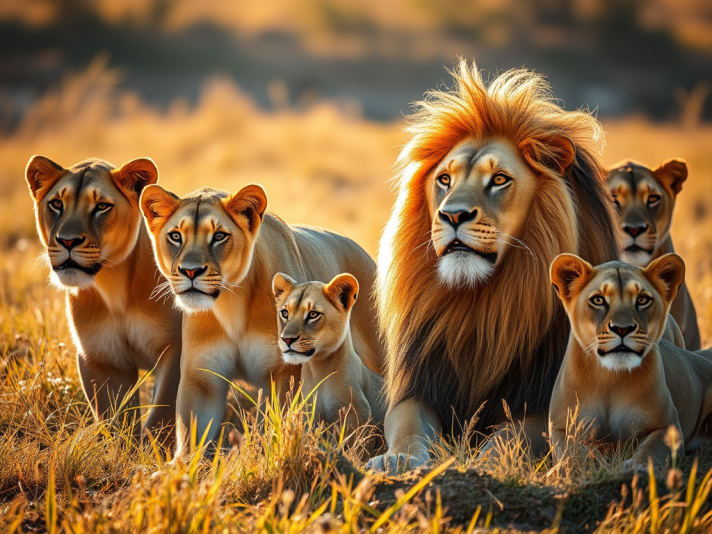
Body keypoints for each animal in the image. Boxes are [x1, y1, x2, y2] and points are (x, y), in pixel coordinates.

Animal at [25, 155, 182, 444]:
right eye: (56, 204)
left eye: (101, 207)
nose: (68, 241)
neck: (114, 286)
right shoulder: (103, 357)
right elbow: (115, 421)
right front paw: (124, 450)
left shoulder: (175, 348)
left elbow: (163, 417)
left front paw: (157, 453)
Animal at [272, 273, 386, 432]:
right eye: (284, 313)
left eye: (313, 314)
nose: (287, 339)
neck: (318, 370)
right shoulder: (309, 416)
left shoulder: (357, 414)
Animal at [367, 60, 621, 473]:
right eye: (444, 179)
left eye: (499, 179)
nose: (452, 215)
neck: (480, 305)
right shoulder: (419, 389)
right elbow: (408, 427)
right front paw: (397, 460)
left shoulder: (540, 404)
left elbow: (507, 439)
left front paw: (483, 465)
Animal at [549, 253, 712, 471]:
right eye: (598, 300)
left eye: (642, 300)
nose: (622, 328)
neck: (609, 377)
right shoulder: (562, 427)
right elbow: (573, 451)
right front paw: (581, 465)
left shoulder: (667, 427)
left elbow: (650, 451)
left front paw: (635, 468)